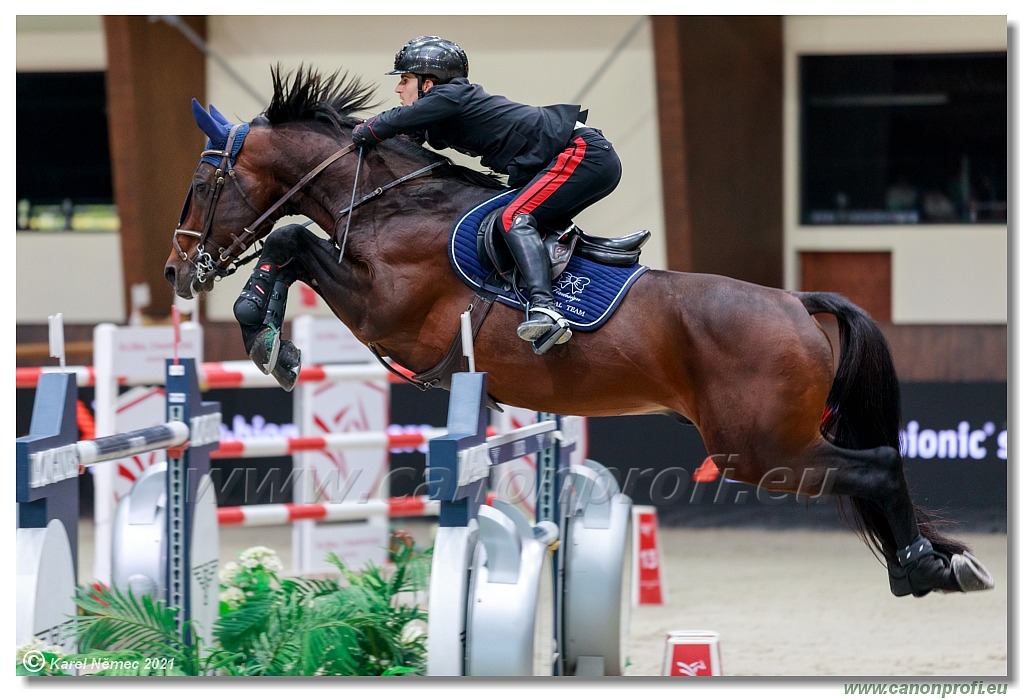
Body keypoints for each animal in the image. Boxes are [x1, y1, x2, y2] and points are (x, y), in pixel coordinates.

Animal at [165, 65, 991, 597]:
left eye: (203, 184)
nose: (177, 272)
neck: (390, 204)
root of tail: (798, 303)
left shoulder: (390, 316)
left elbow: (289, 240)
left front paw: (263, 332)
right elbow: (293, 242)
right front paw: (270, 338)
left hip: (759, 451)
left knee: (878, 463)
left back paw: (925, 568)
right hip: (767, 446)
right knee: (875, 465)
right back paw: (930, 566)